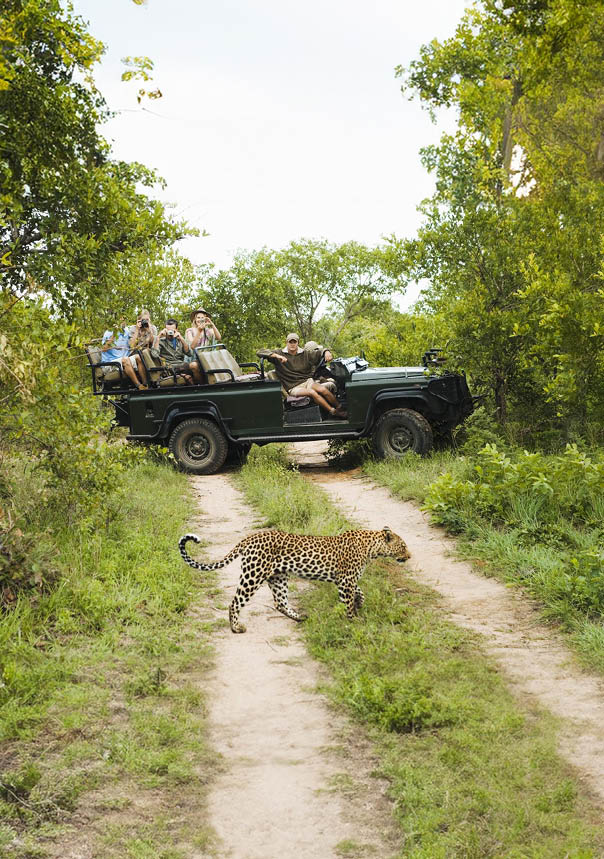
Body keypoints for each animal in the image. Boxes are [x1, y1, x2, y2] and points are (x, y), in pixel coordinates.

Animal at [178, 527, 410, 633]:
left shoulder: (345, 580)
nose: (409, 556)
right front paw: (353, 621)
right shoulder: (345, 581)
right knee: (235, 602)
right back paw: (236, 628)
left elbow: (360, 592)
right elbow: (349, 602)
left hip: (278, 577)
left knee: (280, 602)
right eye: (403, 546)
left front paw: (359, 604)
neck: (372, 548)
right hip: (253, 574)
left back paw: (300, 617)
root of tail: (248, 538)